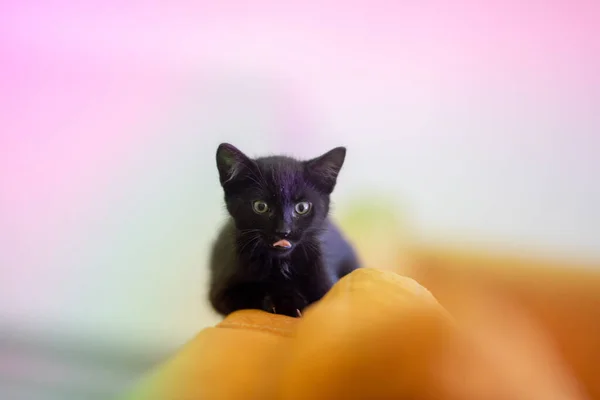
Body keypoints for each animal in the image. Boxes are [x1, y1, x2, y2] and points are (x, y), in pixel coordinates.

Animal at [209, 142, 358, 318]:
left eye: (302, 207)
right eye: (261, 206)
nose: (283, 231)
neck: (282, 263)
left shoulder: (326, 282)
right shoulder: (221, 292)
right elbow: (250, 293)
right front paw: (285, 301)